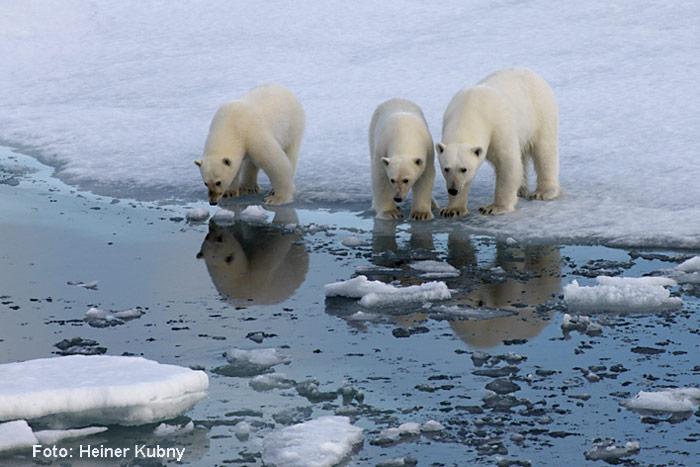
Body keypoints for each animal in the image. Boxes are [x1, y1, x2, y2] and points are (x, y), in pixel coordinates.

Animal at [438, 68, 556, 218]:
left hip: (540, 112)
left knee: (544, 152)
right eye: (446, 168)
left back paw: (543, 192)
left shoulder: (498, 127)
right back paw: (521, 190)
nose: (453, 190)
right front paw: (452, 209)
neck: (470, 109)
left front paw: (493, 208)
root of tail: (532, 73)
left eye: (464, 169)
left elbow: (507, 163)